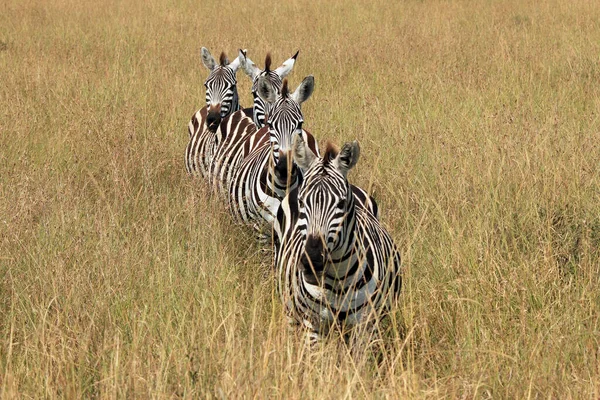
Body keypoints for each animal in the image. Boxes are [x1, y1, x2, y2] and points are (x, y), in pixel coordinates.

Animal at [276, 137, 404, 344]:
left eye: (341, 203)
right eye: (302, 202)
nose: (312, 261)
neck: (338, 281)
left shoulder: (365, 325)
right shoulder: (312, 324)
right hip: (290, 310)